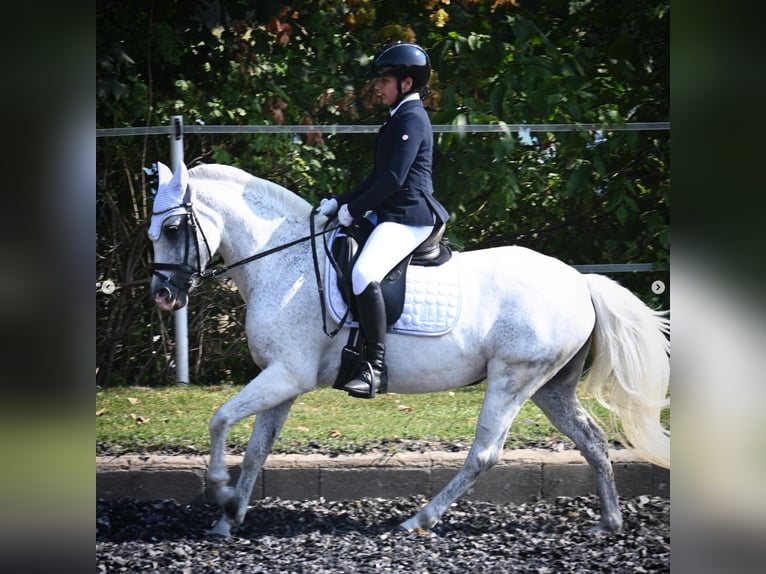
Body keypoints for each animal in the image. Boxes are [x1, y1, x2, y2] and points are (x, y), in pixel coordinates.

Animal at [148, 161, 670, 539]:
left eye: (173, 228)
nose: (163, 296)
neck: (284, 260)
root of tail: (579, 281)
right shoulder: (283, 380)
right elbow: (258, 448)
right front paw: (229, 517)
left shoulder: (286, 375)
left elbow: (220, 418)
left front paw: (218, 490)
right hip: (550, 387)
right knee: (592, 440)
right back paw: (609, 523)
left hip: (513, 378)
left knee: (484, 453)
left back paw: (418, 520)